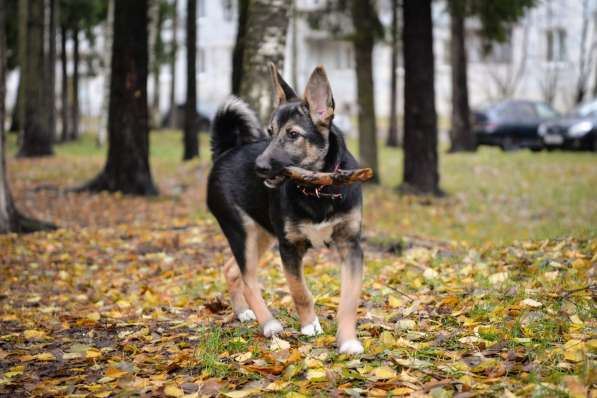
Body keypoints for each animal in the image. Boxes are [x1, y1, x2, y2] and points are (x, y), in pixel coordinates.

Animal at [205, 63, 364, 352]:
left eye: (293, 134)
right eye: (269, 132)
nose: (259, 167)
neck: (317, 189)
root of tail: (225, 152)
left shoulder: (351, 245)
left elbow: (349, 299)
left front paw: (348, 341)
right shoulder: (289, 247)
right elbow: (300, 291)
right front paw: (310, 326)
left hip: (262, 234)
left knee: (232, 270)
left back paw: (243, 313)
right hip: (241, 230)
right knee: (248, 280)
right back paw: (269, 324)